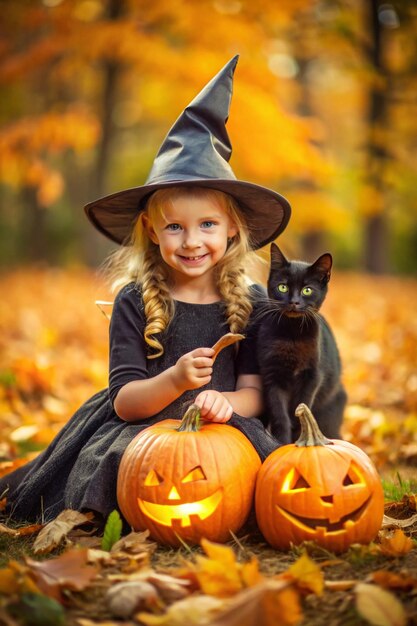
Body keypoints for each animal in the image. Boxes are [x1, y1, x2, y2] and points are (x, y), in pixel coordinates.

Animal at [255, 241, 346, 442]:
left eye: (307, 290)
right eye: (283, 287)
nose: (294, 301)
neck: (293, 334)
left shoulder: (312, 376)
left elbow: (301, 408)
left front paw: (303, 437)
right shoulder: (272, 375)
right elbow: (280, 415)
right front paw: (282, 442)